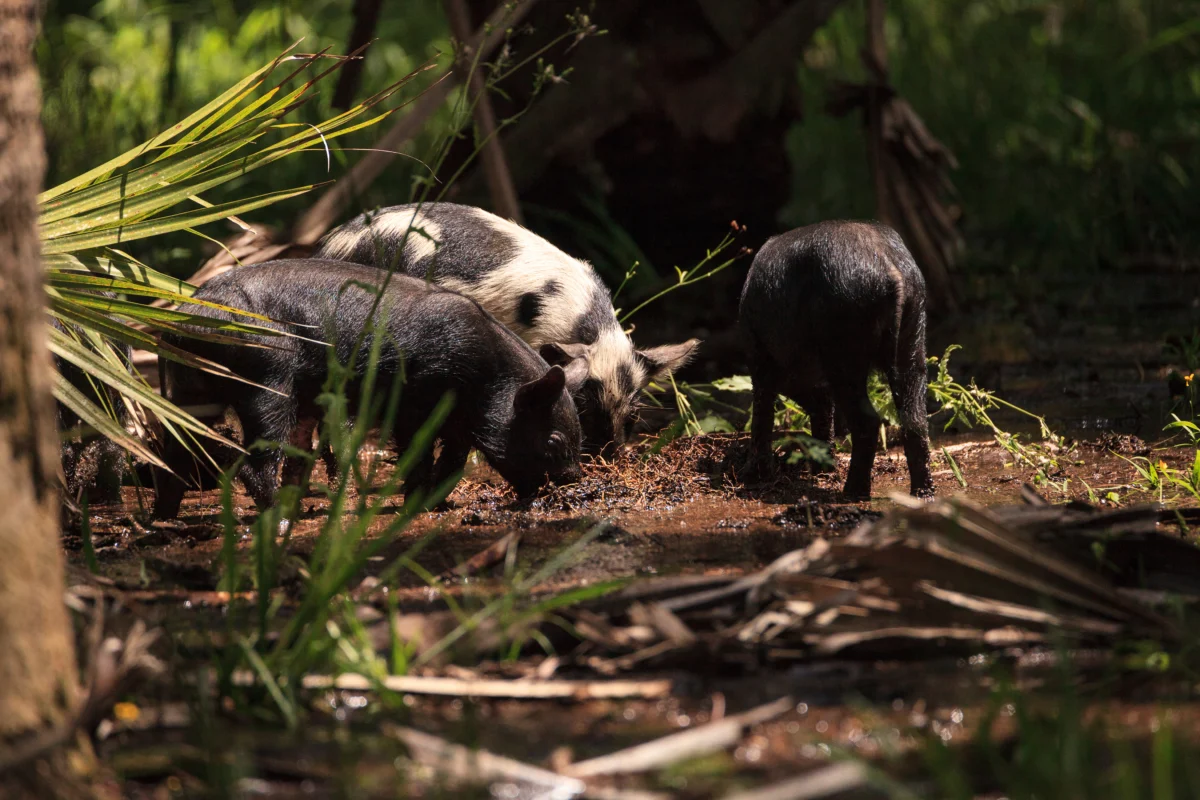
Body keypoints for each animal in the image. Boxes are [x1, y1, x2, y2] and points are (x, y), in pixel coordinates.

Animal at [151, 259, 586, 520]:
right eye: (552, 440)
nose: (573, 478)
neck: (488, 376)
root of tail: (185, 318)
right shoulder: (416, 398)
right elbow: (417, 452)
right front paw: (416, 504)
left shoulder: (460, 421)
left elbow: (454, 461)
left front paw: (438, 502)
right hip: (267, 378)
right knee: (254, 459)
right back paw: (279, 517)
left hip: (191, 390)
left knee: (174, 452)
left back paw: (162, 519)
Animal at [738, 221, 934, 499]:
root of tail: (889, 266)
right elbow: (822, 412)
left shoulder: (759, 356)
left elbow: (762, 411)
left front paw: (752, 476)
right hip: (913, 331)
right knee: (915, 419)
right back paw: (923, 494)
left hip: (844, 345)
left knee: (868, 421)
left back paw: (852, 493)